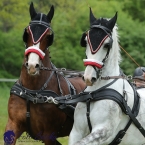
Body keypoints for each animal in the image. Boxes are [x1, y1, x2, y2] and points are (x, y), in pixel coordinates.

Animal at [68, 8, 145, 145]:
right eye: (85, 42)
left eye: (107, 45)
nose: (89, 77)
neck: (95, 92)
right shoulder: (76, 131)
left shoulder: (103, 132)